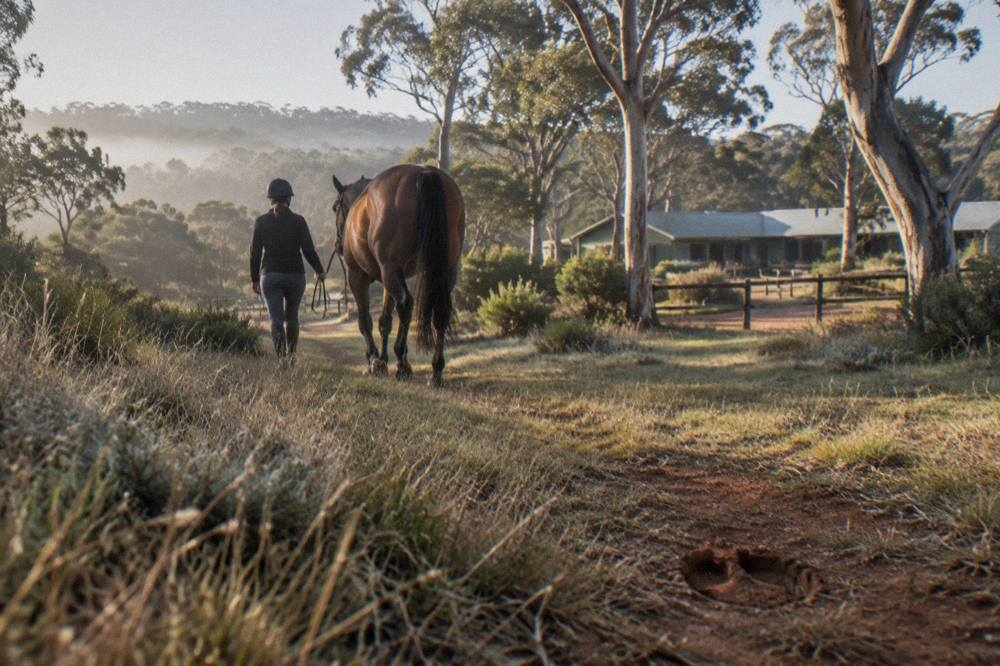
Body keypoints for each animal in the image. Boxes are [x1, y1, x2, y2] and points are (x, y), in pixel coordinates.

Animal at [332, 165, 465, 386]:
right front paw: (383, 360)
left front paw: (374, 359)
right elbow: (385, 321)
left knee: (405, 304)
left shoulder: (358, 275)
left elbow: (365, 319)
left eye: (336, 207)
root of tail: (424, 173)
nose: (339, 245)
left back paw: (403, 364)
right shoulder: (390, 278)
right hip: (445, 270)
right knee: (441, 312)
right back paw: (436, 370)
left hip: (390, 271)